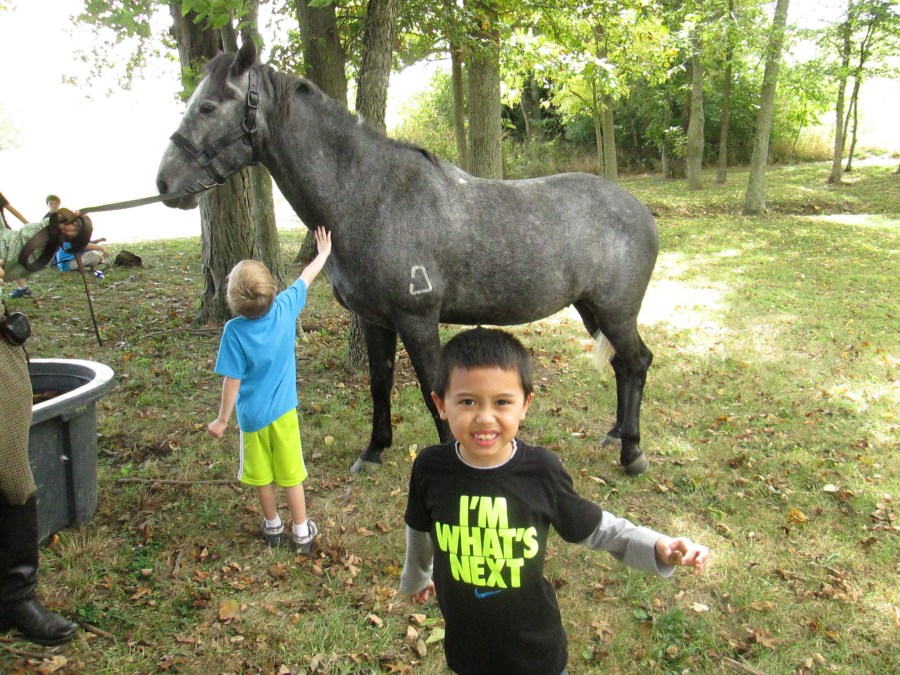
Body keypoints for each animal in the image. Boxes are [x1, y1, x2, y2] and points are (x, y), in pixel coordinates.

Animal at [156, 40, 659, 475]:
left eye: (208, 106)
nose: (164, 183)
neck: (373, 198)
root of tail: (640, 211)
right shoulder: (376, 319)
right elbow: (380, 383)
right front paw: (374, 450)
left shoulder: (417, 319)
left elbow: (435, 390)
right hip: (592, 310)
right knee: (621, 364)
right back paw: (615, 434)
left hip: (615, 311)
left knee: (636, 362)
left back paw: (633, 453)